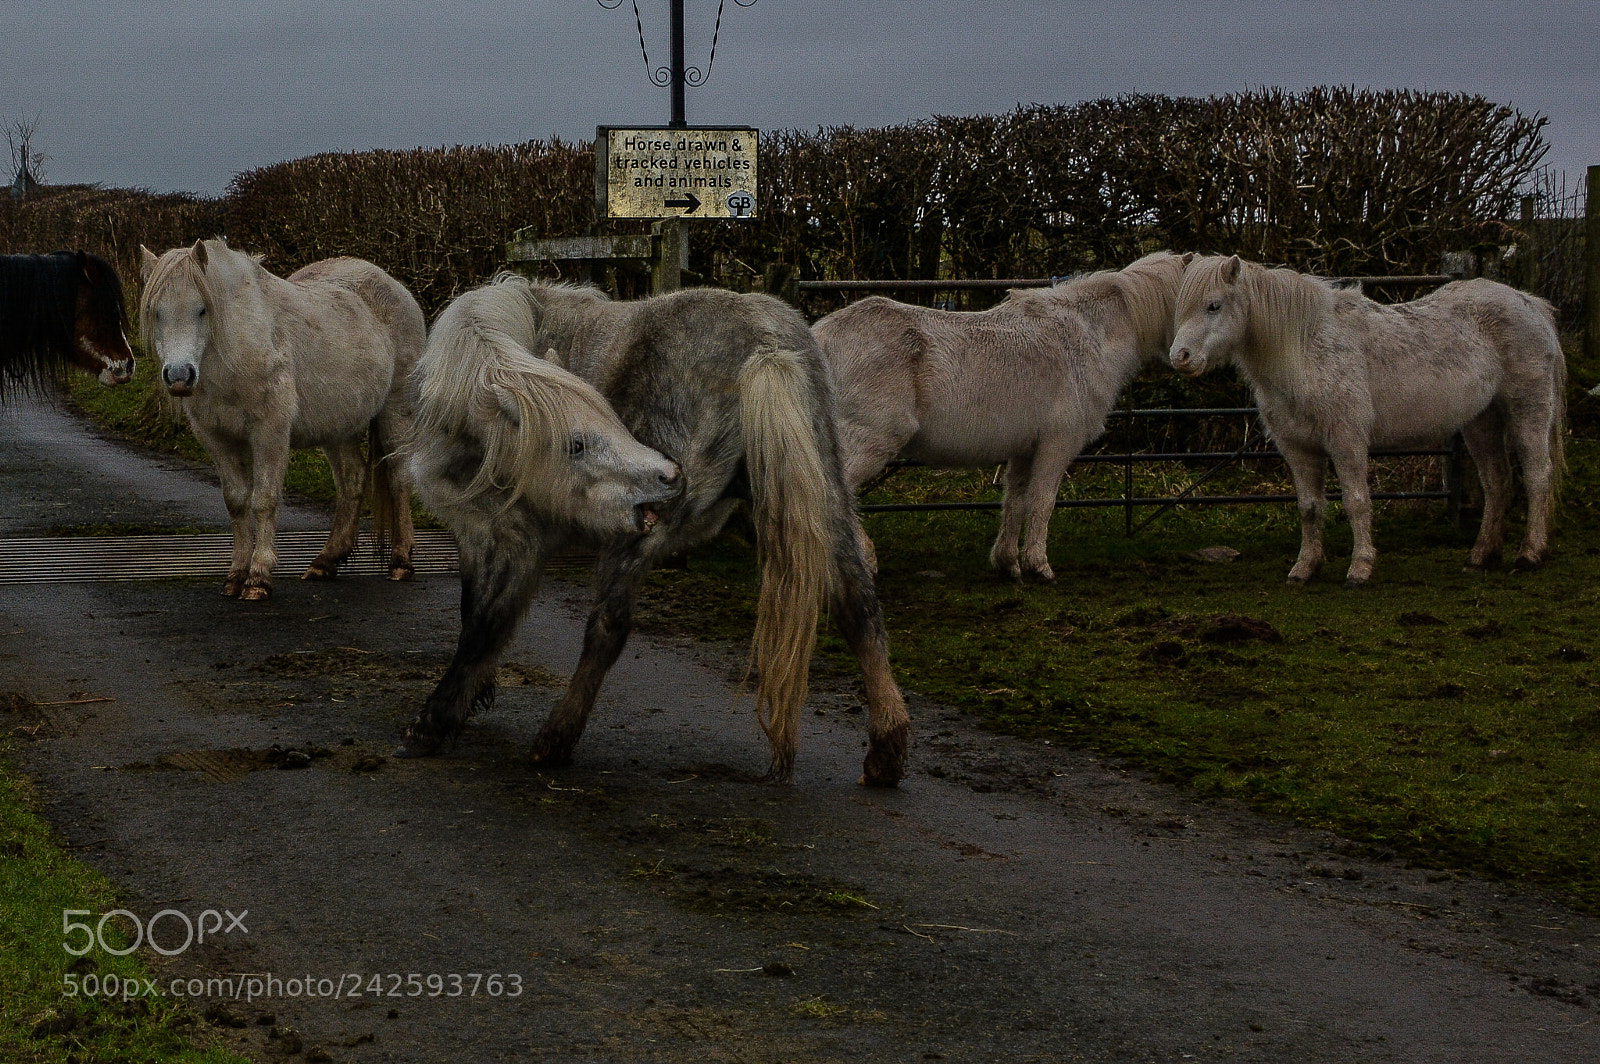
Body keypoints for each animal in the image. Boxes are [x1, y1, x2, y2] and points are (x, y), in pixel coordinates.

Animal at [138, 239, 424, 599]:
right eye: (156, 312)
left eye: (202, 309)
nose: (179, 376)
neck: (238, 352)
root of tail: (396, 288)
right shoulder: (215, 437)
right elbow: (236, 501)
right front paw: (236, 575)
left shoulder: (269, 433)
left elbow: (263, 500)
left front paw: (258, 577)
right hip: (337, 427)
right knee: (352, 479)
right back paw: (326, 561)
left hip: (396, 410)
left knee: (400, 477)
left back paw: (402, 562)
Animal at [402, 275, 911, 786]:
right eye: (578, 443)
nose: (669, 474)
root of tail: (765, 340)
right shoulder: (475, 537)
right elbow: (472, 610)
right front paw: (473, 696)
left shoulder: (513, 540)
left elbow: (485, 624)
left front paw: (434, 722)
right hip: (823, 508)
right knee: (858, 606)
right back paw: (886, 750)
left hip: (637, 540)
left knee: (607, 629)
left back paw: (555, 738)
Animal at [813, 251, 1192, 582]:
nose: (1188, 358)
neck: (1085, 337)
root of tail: (819, 339)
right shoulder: (1057, 446)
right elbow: (1042, 502)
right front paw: (1039, 566)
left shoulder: (1025, 449)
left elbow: (1016, 502)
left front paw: (1008, 563)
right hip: (871, 442)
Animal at [1169, 254, 1566, 585]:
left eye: (1213, 305)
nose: (1180, 357)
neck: (1305, 347)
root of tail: (1530, 304)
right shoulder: (1297, 448)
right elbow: (1309, 508)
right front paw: (1304, 569)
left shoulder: (1346, 440)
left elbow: (1356, 501)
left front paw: (1360, 568)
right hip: (1481, 422)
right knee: (1497, 484)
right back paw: (1481, 557)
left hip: (1527, 411)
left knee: (1537, 477)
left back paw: (1529, 555)